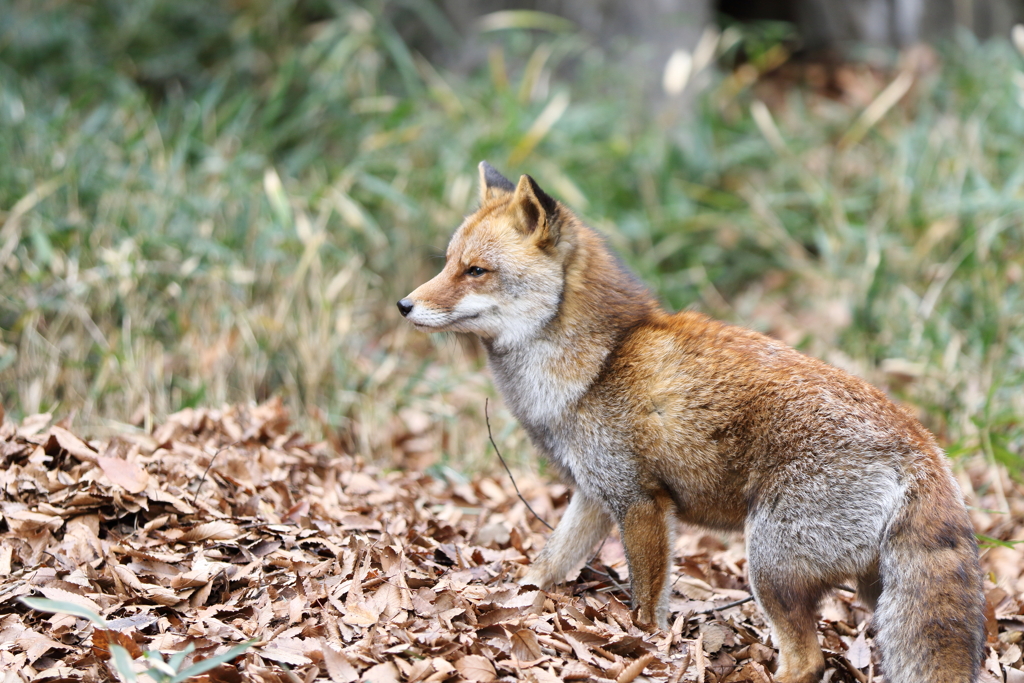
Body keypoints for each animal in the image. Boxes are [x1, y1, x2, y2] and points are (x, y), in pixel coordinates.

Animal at [395, 161, 987, 683]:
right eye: (447, 263)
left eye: (476, 271)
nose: (403, 305)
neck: (600, 361)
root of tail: (925, 448)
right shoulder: (595, 495)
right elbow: (546, 565)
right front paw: (512, 600)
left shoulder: (641, 504)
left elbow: (645, 607)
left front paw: (645, 649)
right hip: (869, 588)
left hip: (769, 565)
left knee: (807, 663)